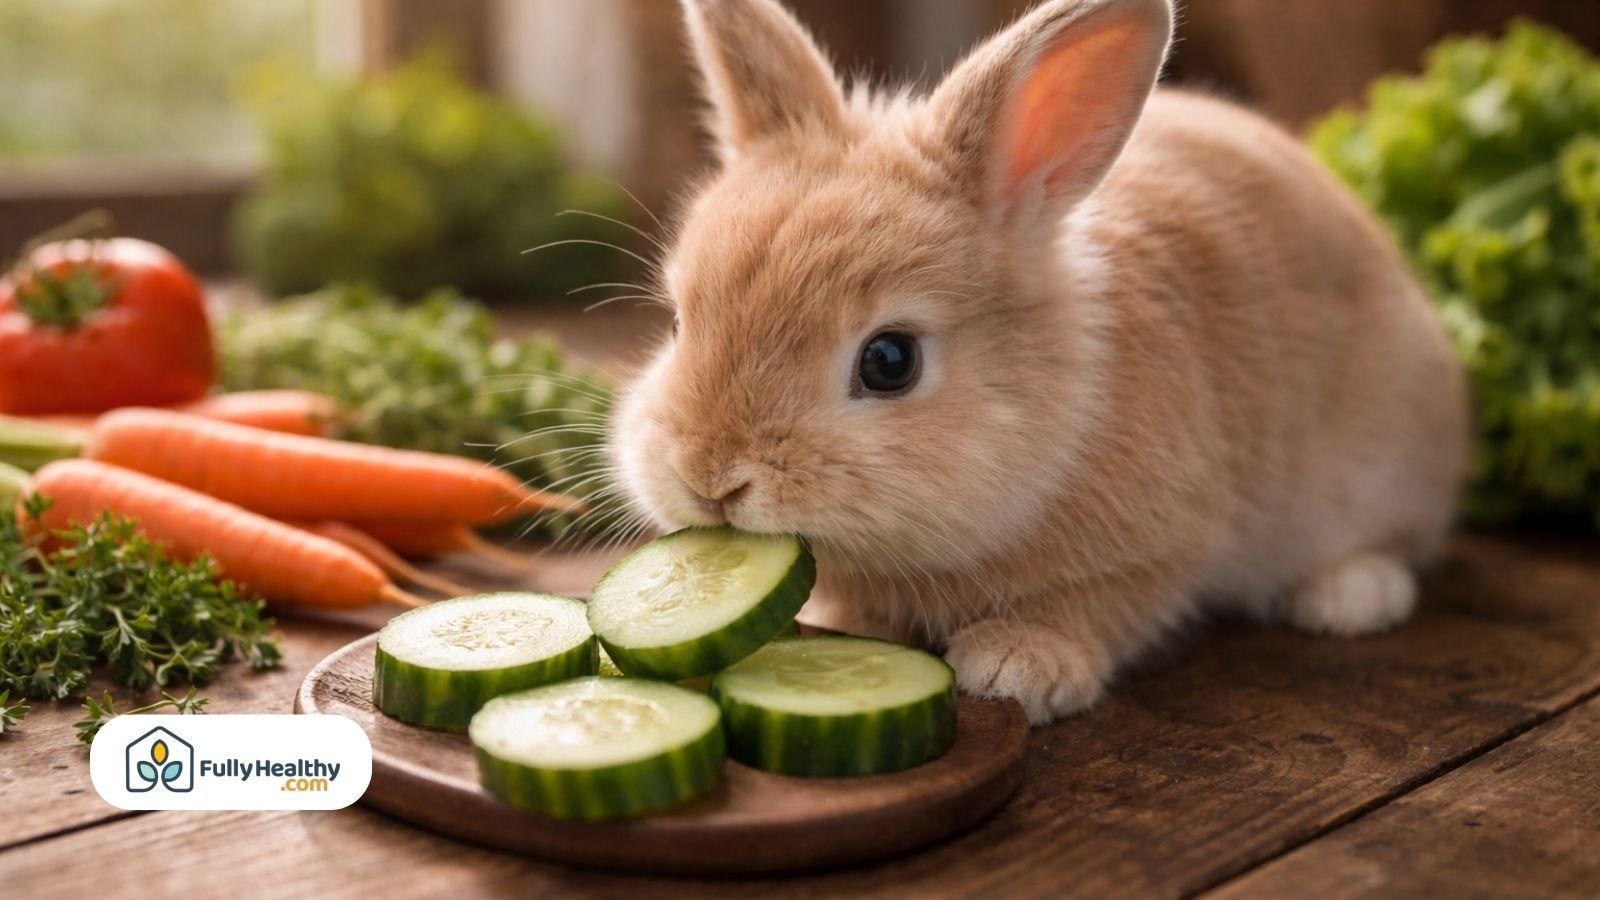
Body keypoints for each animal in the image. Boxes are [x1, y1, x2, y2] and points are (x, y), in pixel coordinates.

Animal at [607, 0, 1469, 724]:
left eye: (889, 361)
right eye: (679, 322)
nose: (711, 480)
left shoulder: (1165, 546)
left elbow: (1096, 605)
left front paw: (1013, 667)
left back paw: (1347, 599)